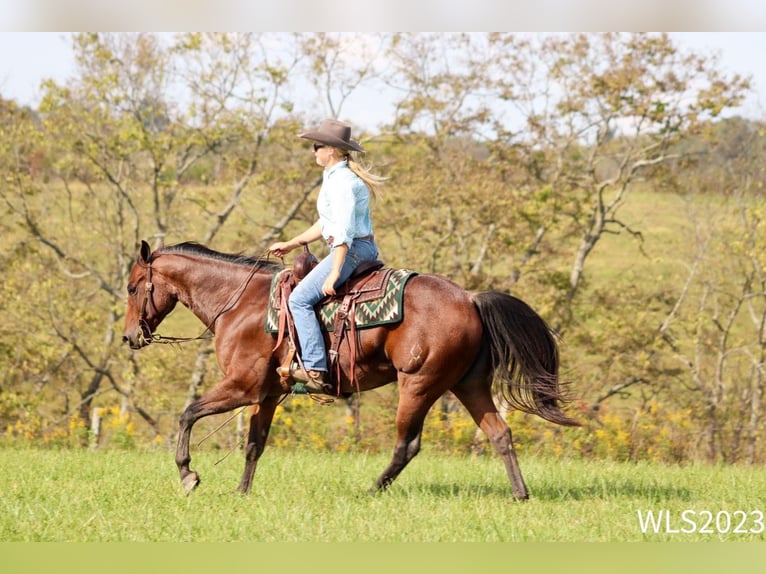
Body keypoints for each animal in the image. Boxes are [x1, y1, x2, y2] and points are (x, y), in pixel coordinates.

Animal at [124, 238, 584, 500]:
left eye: (131, 287)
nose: (130, 336)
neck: (240, 304)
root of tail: (471, 298)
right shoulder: (267, 394)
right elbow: (254, 444)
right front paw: (241, 493)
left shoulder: (243, 386)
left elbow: (188, 413)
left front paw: (188, 475)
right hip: (468, 386)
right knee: (500, 434)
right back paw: (520, 494)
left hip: (419, 385)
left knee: (407, 445)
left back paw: (371, 491)